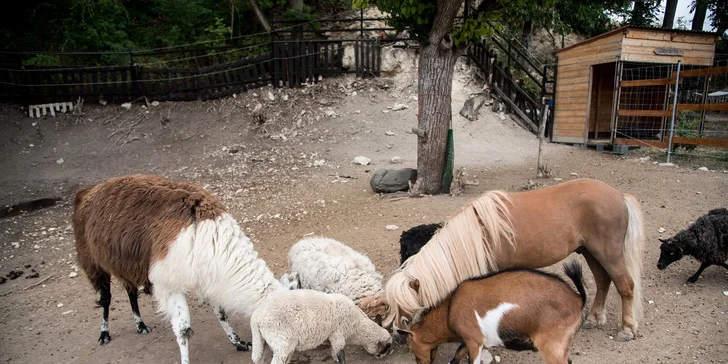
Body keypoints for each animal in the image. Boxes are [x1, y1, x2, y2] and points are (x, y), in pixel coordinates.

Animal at [73, 173, 288, 364]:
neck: (210, 237)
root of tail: (89, 191)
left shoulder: (207, 277)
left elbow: (221, 313)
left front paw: (239, 343)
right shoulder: (170, 283)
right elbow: (184, 331)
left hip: (125, 263)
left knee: (130, 291)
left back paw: (140, 325)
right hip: (93, 261)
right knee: (106, 298)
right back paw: (104, 333)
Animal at [253, 288, 396, 362]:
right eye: (387, 347)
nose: (386, 355)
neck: (357, 326)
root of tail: (257, 315)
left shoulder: (333, 336)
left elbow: (334, 351)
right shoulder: (339, 334)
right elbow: (341, 354)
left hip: (266, 342)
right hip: (282, 342)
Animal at [384, 178, 644, 342]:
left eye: (406, 304)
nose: (396, 333)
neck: (478, 235)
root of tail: (618, 196)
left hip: (608, 253)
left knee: (625, 286)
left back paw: (627, 330)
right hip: (591, 252)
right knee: (603, 281)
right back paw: (594, 318)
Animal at [396, 262, 588, 364]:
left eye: (411, 347)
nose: (420, 363)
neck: (450, 310)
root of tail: (578, 299)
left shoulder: (474, 341)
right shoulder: (471, 340)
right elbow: (457, 354)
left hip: (551, 346)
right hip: (563, 346)